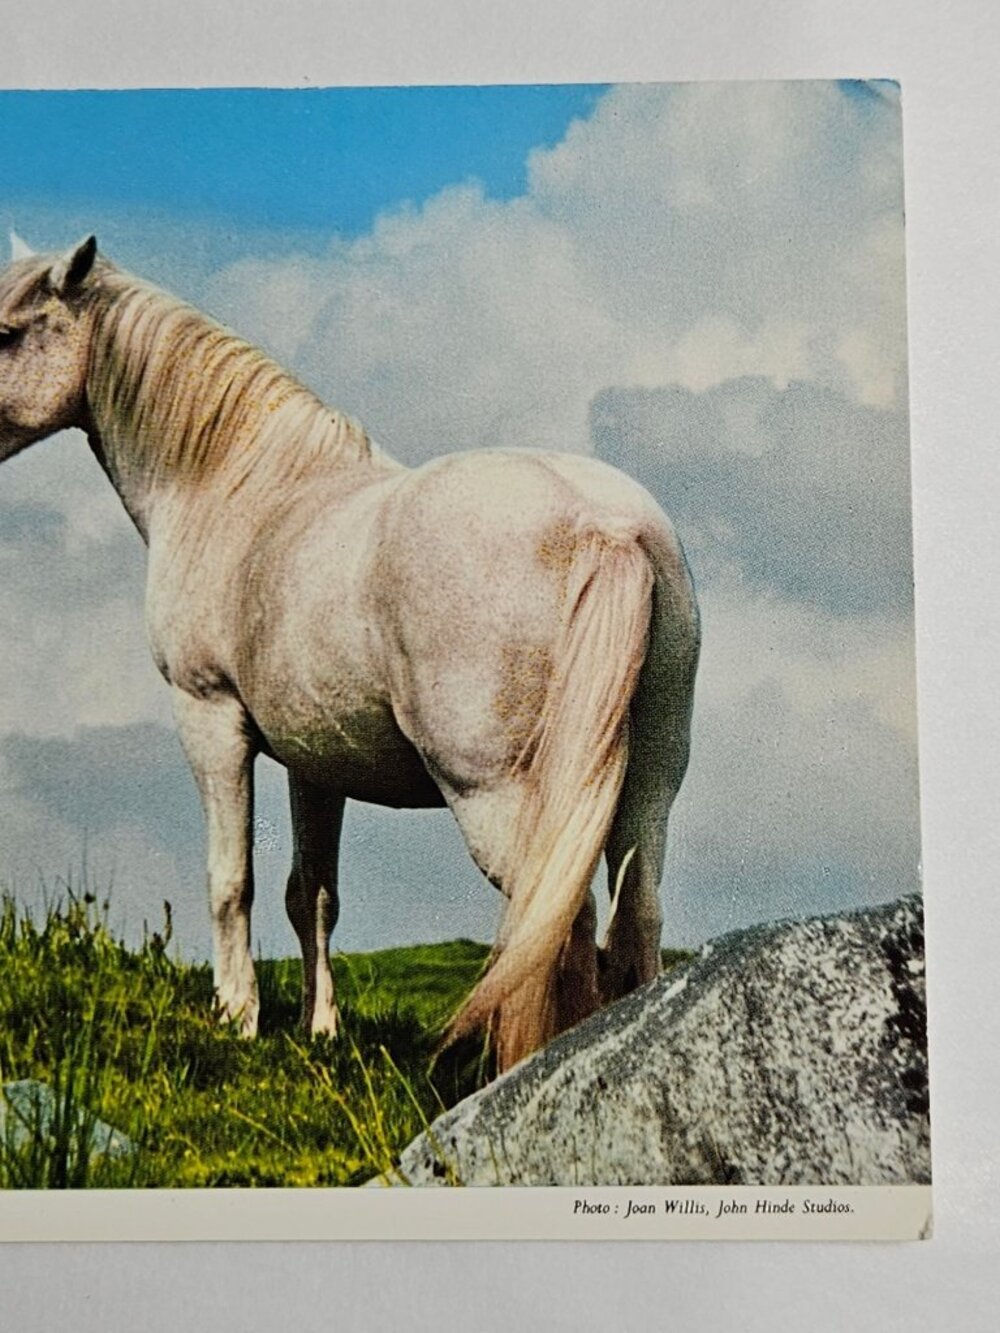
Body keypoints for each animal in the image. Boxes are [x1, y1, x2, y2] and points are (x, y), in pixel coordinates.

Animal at [0, 236, 699, 1073]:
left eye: (5, 333)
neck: (238, 489)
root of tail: (606, 527)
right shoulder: (313, 758)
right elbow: (313, 893)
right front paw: (320, 1028)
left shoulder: (211, 718)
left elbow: (231, 878)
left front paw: (236, 1015)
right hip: (648, 785)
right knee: (637, 914)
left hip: (495, 794)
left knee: (559, 919)